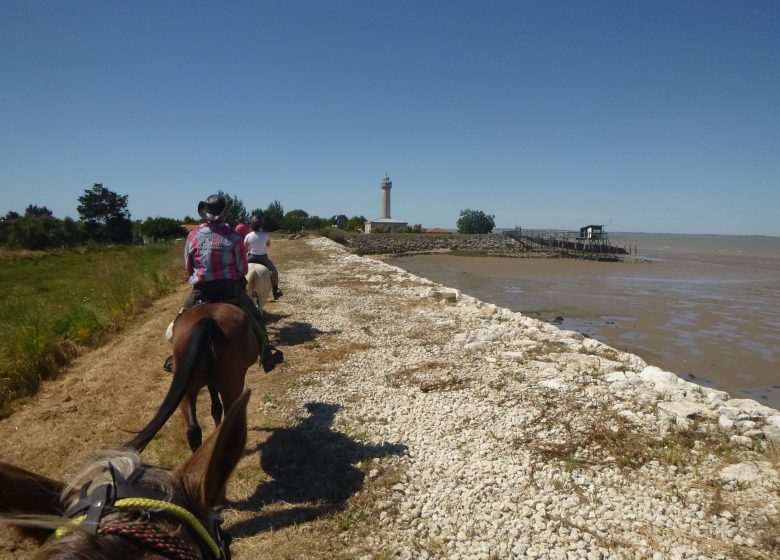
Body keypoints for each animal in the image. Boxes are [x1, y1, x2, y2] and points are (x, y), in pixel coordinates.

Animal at [129, 304, 260, 452]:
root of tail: (208, 322)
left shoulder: (209, 382)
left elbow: (215, 408)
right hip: (231, 386)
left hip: (188, 389)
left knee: (193, 430)